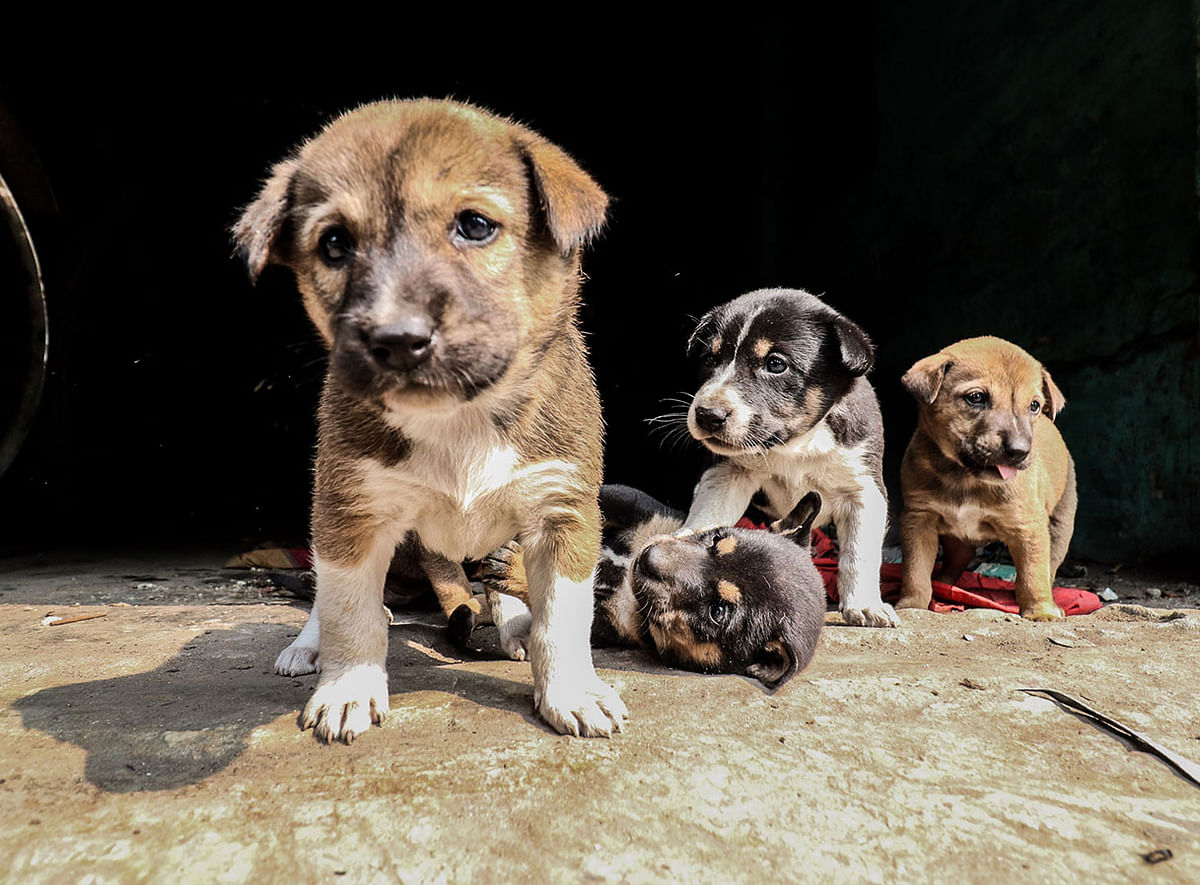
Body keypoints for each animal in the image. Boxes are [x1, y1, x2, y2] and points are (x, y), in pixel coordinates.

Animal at [232, 96, 628, 738]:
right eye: (334, 244)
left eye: (475, 225)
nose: (398, 340)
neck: (460, 417)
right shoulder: (350, 507)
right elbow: (349, 610)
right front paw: (347, 688)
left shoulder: (562, 510)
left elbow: (563, 619)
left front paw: (570, 692)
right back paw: (308, 646)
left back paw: (511, 626)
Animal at [477, 482, 825, 681]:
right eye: (717, 538)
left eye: (717, 612)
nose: (648, 557)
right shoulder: (634, 503)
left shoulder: (608, 626)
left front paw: (515, 568)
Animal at [681, 290, 897, 628]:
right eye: (709, 360)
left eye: (775, 364)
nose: (707, 415)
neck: (793, 446)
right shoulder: (728, 471)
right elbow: (708, 514)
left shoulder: (863, 487)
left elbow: (859, 553)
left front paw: (865, 606)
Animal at [892, 333, 1080, 618]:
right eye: (976, 397)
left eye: (1034, 406)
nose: (1019, 451)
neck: (965, 478)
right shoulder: (918, 519)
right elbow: (916, 571)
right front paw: (912, 605)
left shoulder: (1029, 527)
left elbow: (1032, 575)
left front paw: (1041, 611)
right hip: (957, 540)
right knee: (951, 565)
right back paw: (944, 588)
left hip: (1060, 526)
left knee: (1049, 567)